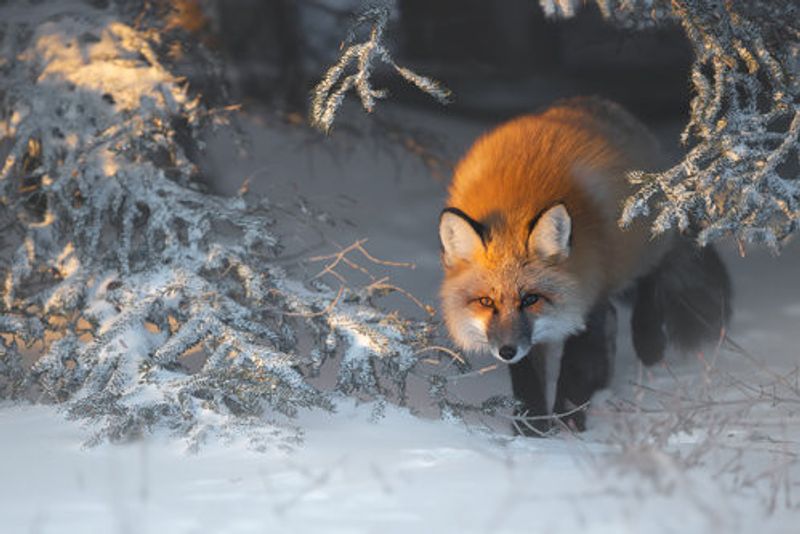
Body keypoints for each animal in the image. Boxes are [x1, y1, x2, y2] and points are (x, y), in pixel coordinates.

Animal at [438, 97, 731, 433]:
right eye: (486, 302)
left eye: (531, 299)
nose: (506, 351)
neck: (516, 203)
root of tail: (595, 103)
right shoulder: (532, 337)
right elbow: (528, 383)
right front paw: (531, 432)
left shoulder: (588, 300)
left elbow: (575, 373)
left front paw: (568, 427)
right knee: (615, 317)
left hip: (639, 247)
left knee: (651, 279)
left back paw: (649, 341)